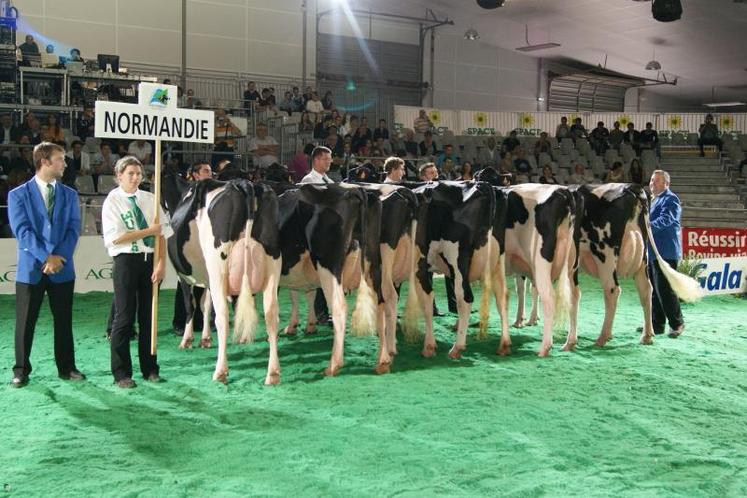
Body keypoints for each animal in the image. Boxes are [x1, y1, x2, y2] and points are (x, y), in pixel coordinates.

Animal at [168, 179, 282, 386]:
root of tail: (244, 184)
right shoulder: (207, 280)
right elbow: (206, 305)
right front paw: (205, 338)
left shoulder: (184, 277)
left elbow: (191, 307)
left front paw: (188, 340)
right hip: (273, 266)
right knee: (271, 316)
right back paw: (273, 373)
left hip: (218, 267)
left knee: (222, 317)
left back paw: (220, 371)